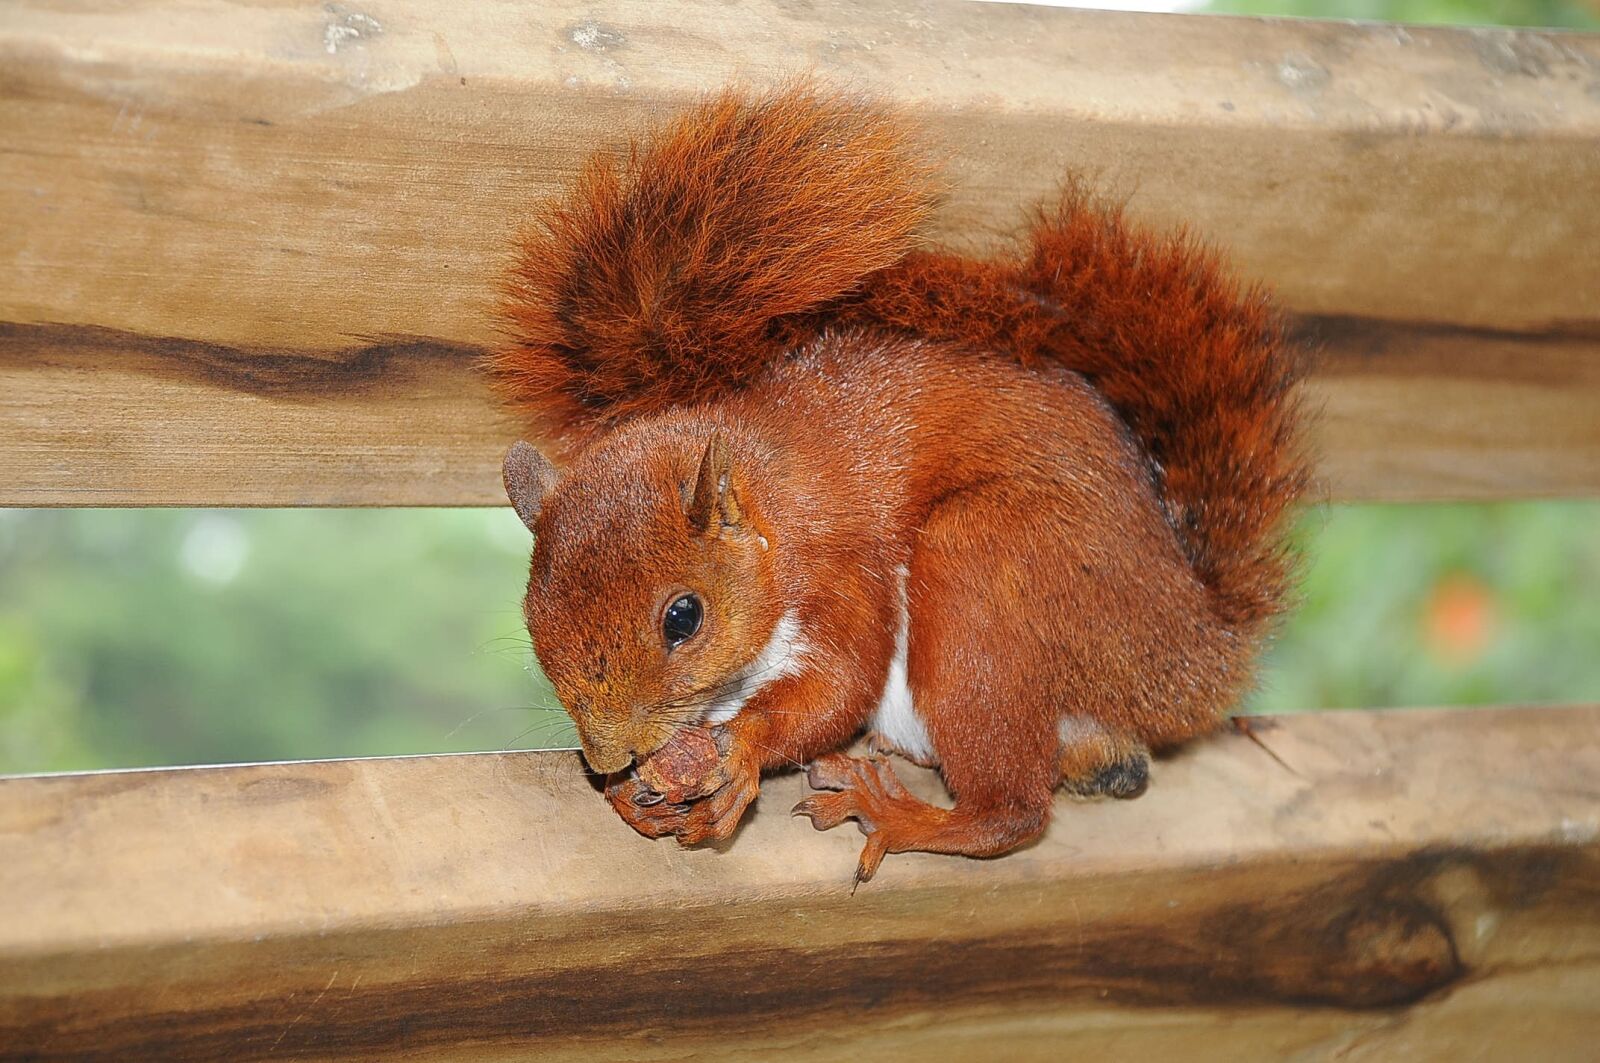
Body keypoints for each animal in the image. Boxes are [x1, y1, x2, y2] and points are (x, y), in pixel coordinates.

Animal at [489, 82, 1308, 883]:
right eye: (533, 618)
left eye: (682, 618)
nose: (607, 757)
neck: (774, 499)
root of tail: (1194, 653)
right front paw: (637, 793)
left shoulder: (844, 569)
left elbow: (839, 683)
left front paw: (740, 755)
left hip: (989, 565)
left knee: (1014, 812)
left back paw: (895, 811)